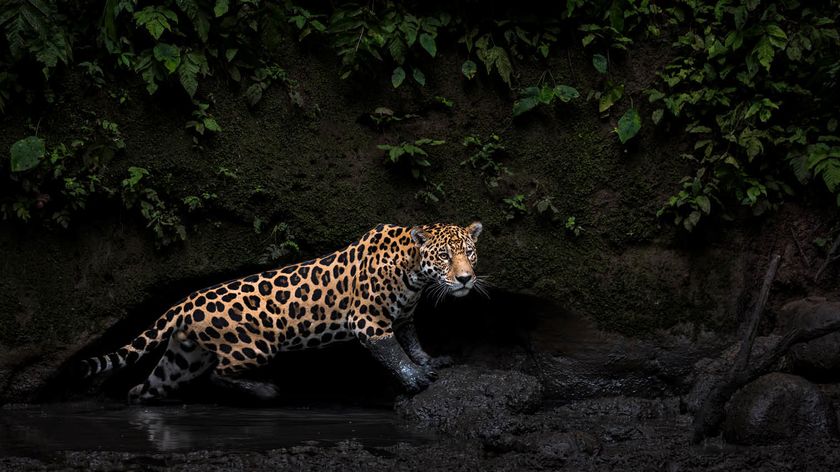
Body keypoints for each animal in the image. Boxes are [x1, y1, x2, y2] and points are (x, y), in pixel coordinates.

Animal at [80, 222, 484, 402]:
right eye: (444, 257)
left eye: (469, 253)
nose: (465, 279)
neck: (414, 270)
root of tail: (185, 302)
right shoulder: (369, 323)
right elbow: (393, 354)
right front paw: (415, 379)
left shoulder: (402, 318)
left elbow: (412, 342)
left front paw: (430, 360)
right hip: (255, 346)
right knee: (218, 374)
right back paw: (265, 390)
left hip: (182, 359)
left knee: (148, 386)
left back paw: (139, 397)